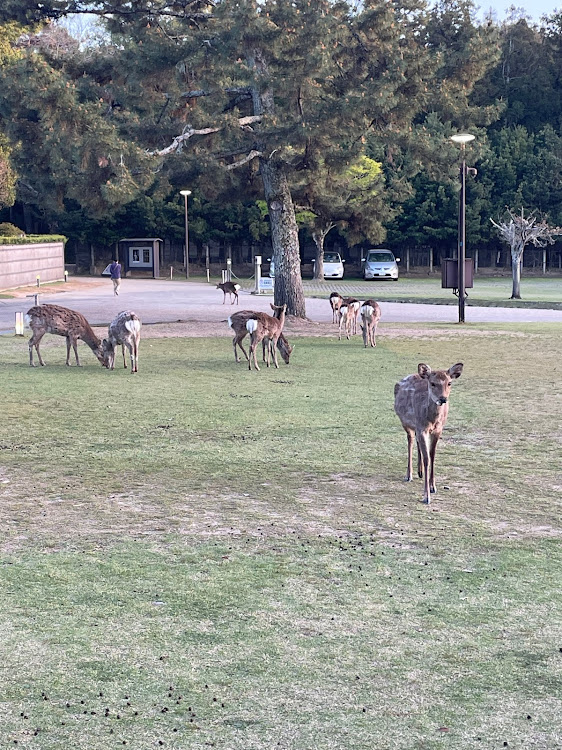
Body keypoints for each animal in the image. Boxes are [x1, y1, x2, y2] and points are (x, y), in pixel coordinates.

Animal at [392, 362, 462, 506]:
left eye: (449, 383)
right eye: (432, 383)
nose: (443, 399)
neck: (431, 420)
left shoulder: (437, 430)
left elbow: (432, 456)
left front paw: (433, 486)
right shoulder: (421, 428)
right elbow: (427, 459)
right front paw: (426, 496)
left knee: (417, 441)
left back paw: (420, 472)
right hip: (405, 421)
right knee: (410, 440)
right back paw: (409, 475)